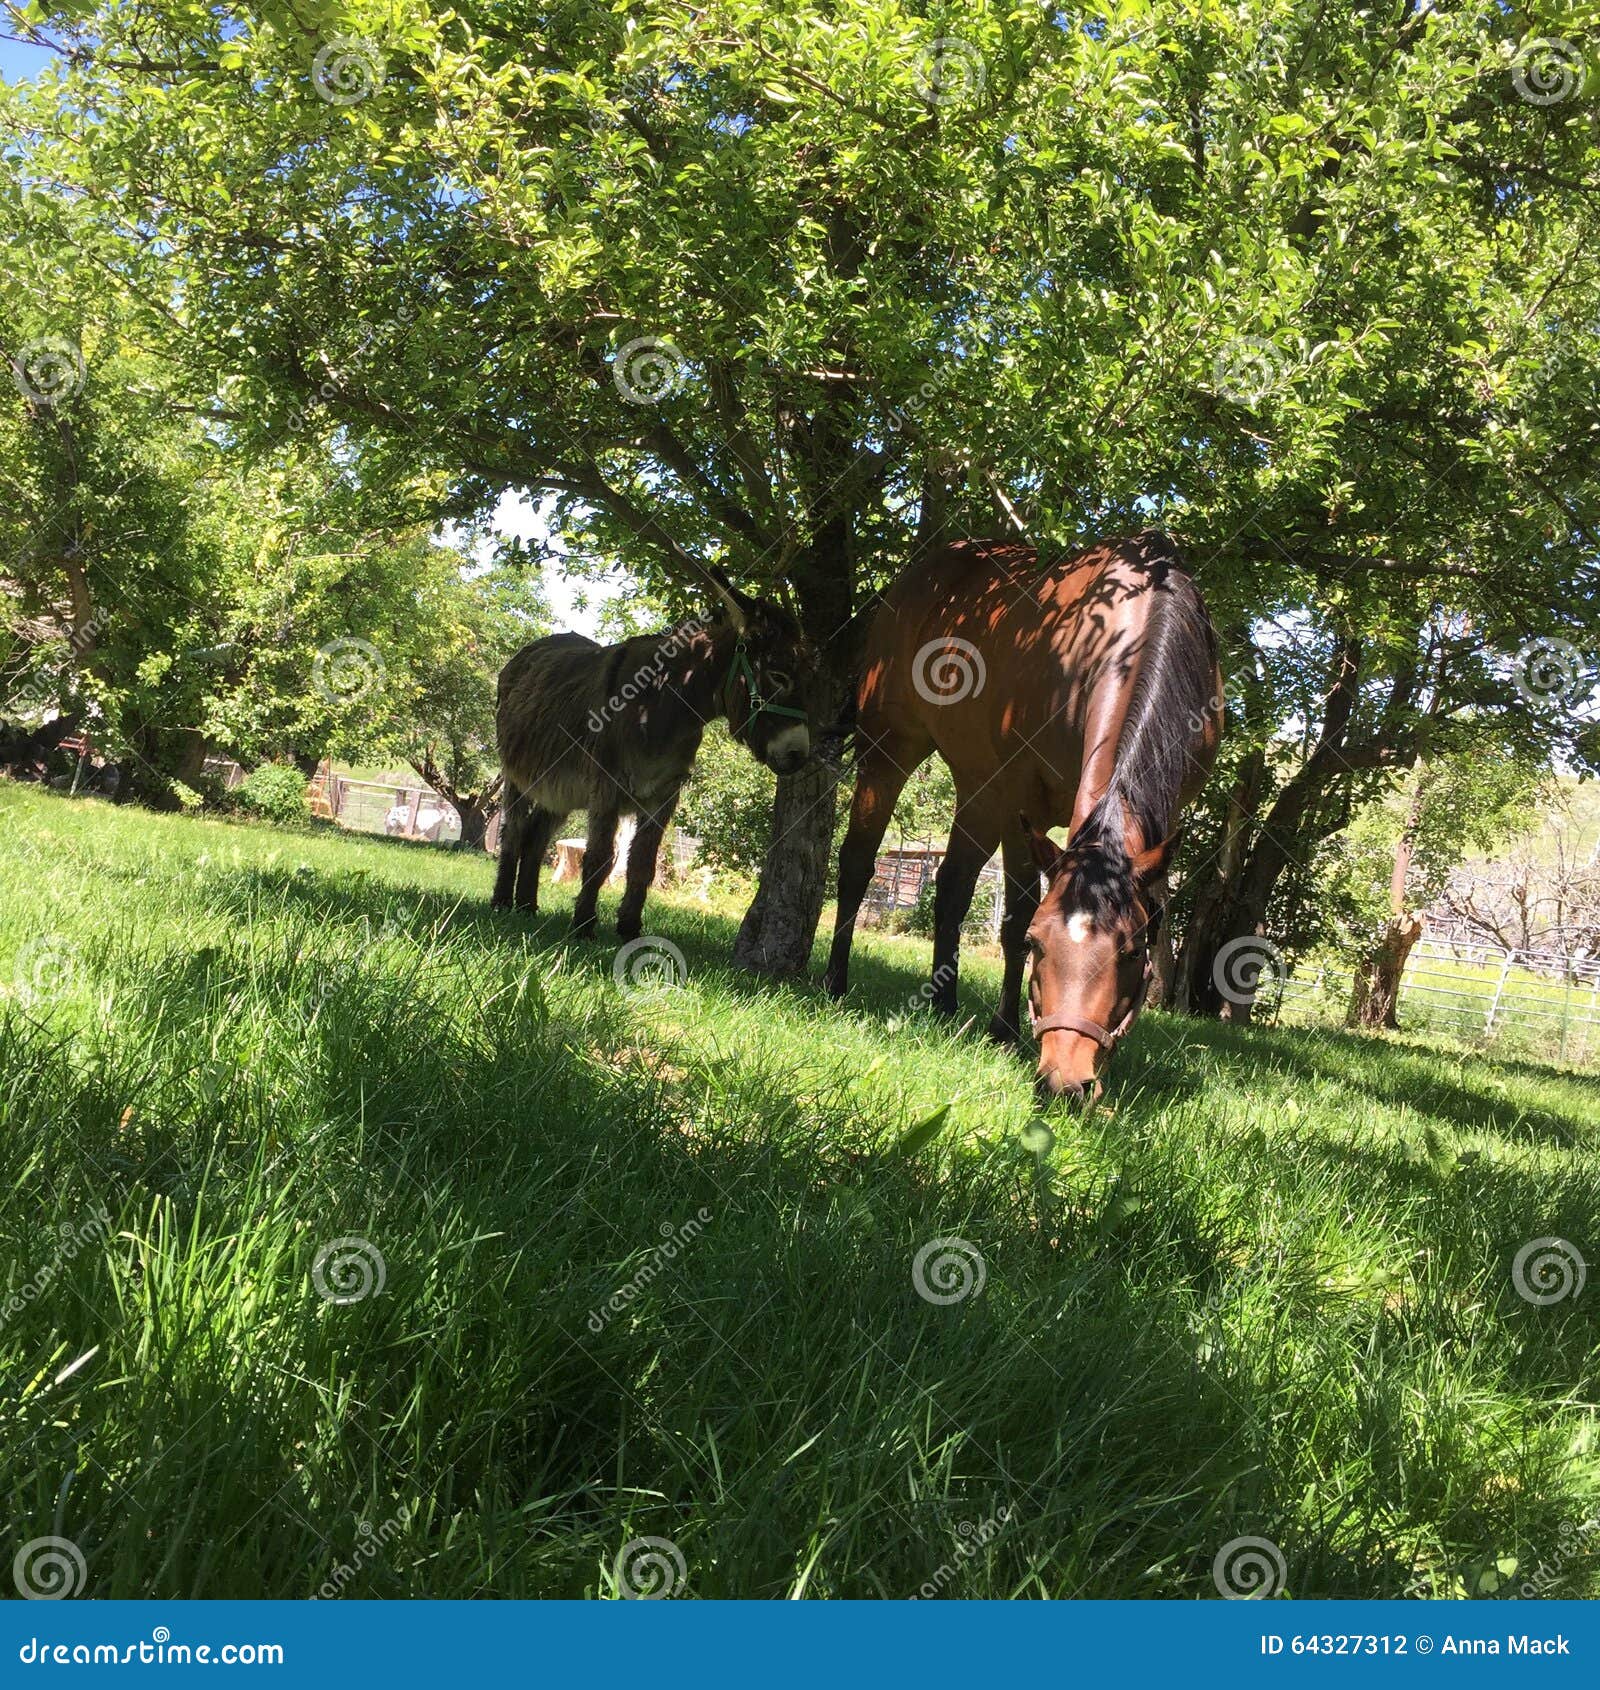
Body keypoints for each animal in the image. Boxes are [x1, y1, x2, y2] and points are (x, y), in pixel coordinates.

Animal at [489, 577, 814, 946]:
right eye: (778, 675)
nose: (798, 755)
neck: (665, 705)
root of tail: (529, 651)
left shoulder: (663, 794)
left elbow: (643, 864)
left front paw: (630, 931)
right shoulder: (607, 786)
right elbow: (599, 858)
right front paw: (584, 927)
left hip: (559, 789)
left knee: (536, 836)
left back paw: (527, 906)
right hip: (517, 776)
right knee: (514, 831)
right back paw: (502, 903)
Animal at [831, 534, 1223, 1101]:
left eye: (1131, 953)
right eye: (1041, 944)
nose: (1065, 1081)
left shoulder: (1167, 812)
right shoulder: (1024, 801)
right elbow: (1016, 914)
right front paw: (1004, 1030)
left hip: (978, 788)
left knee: (952, 885)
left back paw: (943, 1006)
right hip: (890, 751)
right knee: (857, 863)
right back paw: (834, 983)